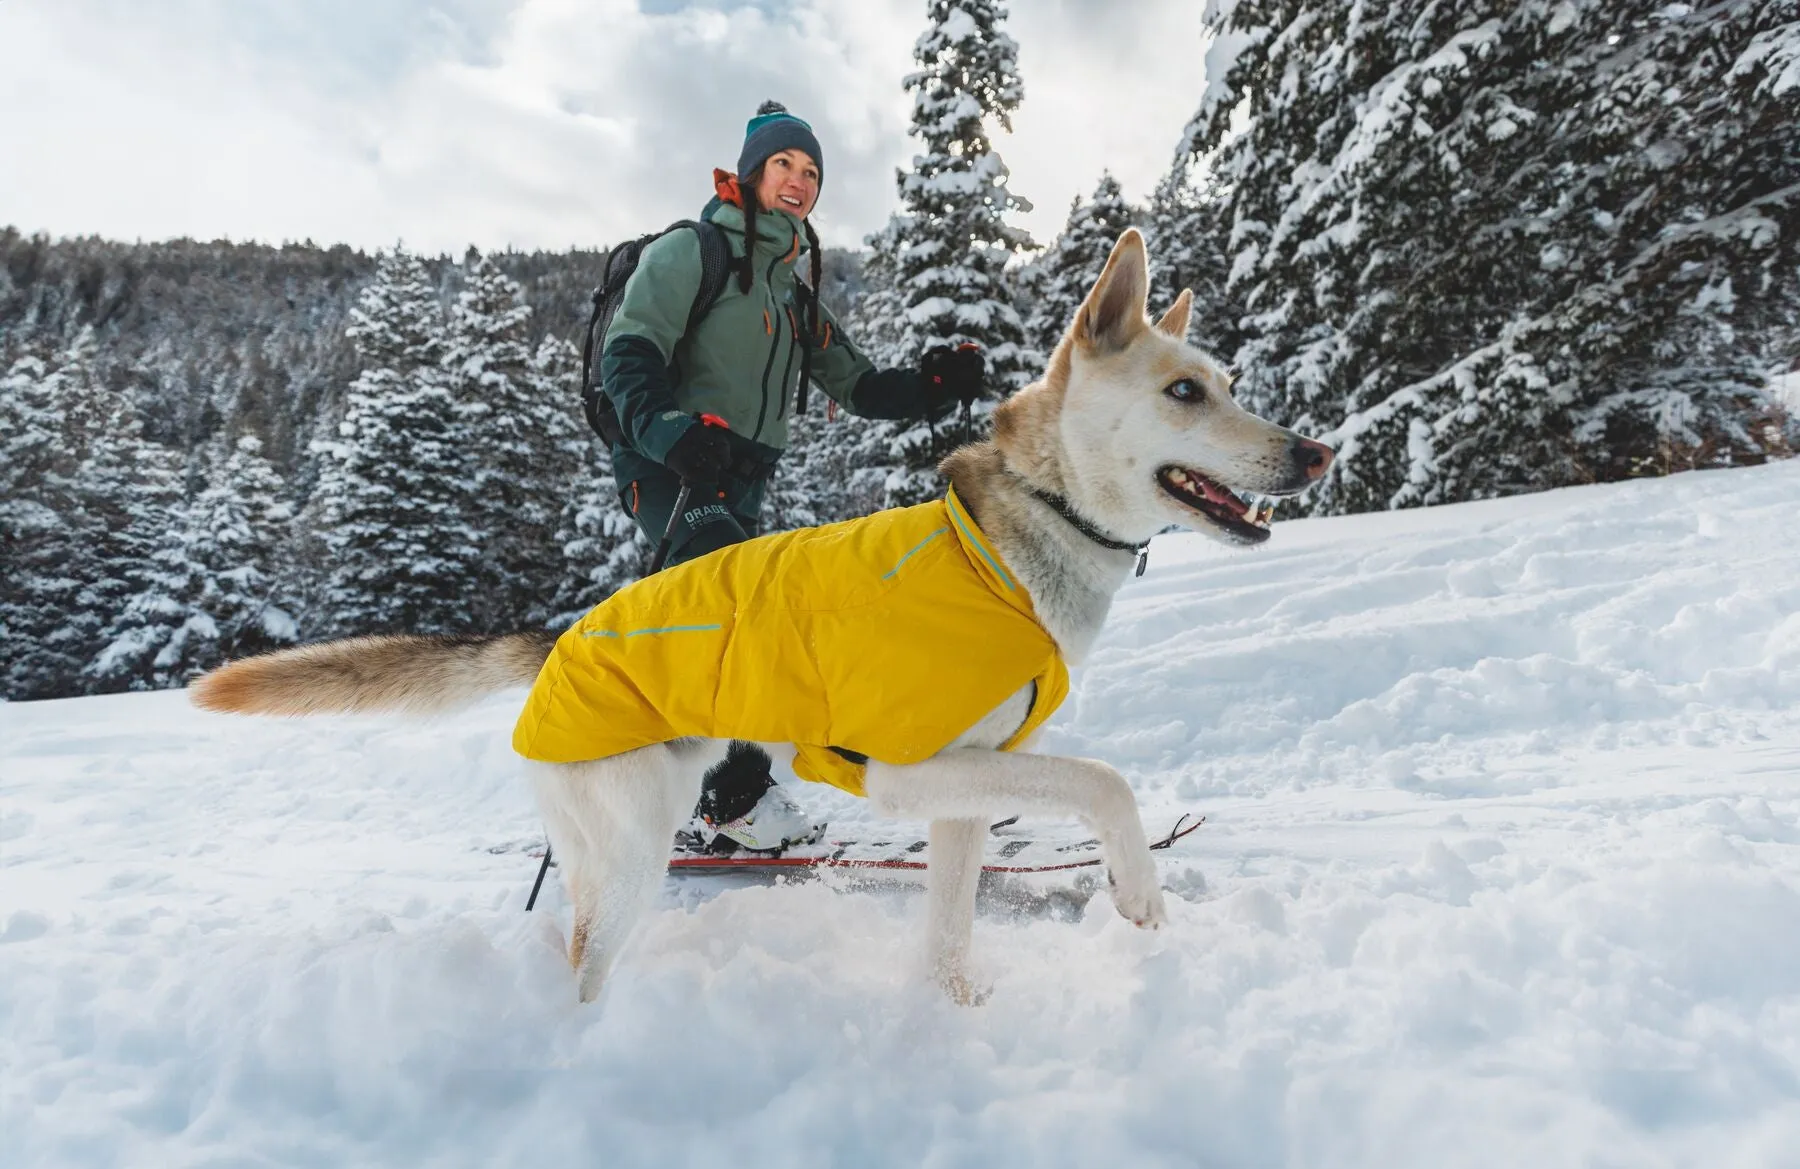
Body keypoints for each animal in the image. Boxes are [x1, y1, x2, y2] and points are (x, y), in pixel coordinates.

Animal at [193, 230, 1339, 1001]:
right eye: (1186, 391)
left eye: (1229, 381)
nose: (1318, 452)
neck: (1011, 544)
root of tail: (561, 634)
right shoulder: (906, 768)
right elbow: (1104, 779)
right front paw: (1139, 887)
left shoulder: (965, 790)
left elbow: (952, 926)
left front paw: (953, 1015)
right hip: (639, 848)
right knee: (586, 958)